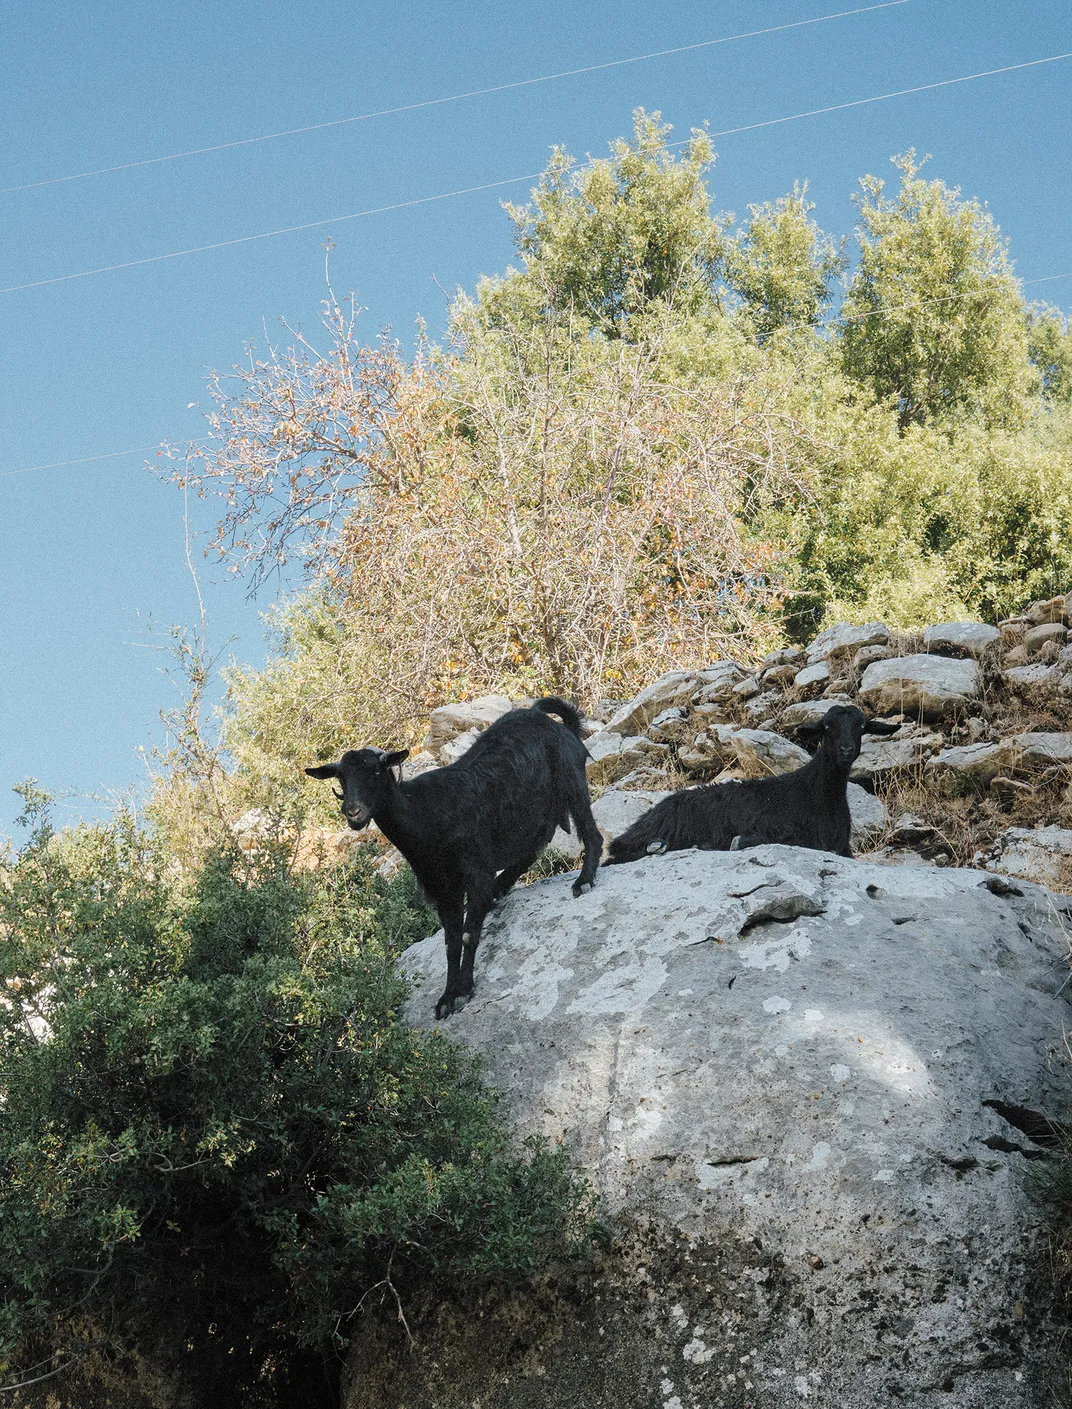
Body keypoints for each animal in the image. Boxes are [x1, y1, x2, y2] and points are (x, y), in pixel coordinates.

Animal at [305, 698, 602, 1020]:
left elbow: (469, 934)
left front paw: (464, 990)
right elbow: (451, 942)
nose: (353, 812)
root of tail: (561, 724)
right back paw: (502, 888)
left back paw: (584, 880)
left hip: (571, 778)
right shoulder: (442, 887)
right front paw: (447, 997)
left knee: (590, 831)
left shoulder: (476, 872)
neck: (425, 814)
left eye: (376, 772)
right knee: (539, 839)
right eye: (340, 777)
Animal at [605, 710, 901, 862]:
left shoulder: (843, 848)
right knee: (618, 849)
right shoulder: (782, 827)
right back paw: (659, 846)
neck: (818, 792)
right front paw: (740, 841)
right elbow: (791, 839)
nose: (846, 750)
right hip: (660, 824)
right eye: (827, 727)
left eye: (861, 726)